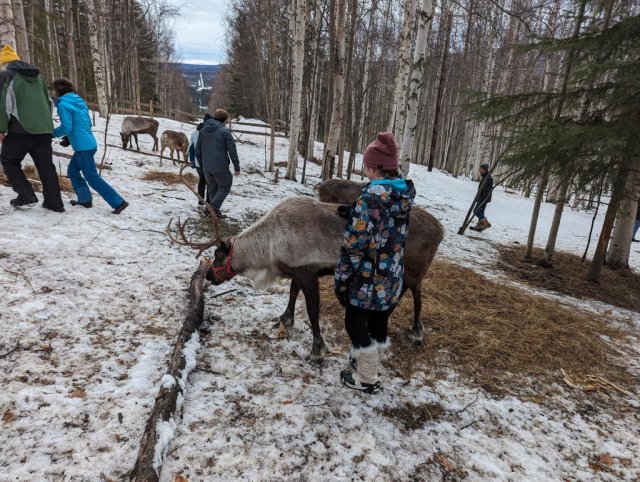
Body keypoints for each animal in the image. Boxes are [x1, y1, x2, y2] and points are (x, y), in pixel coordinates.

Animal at [167, 166, 444, 361]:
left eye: (217, 255)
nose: (210, 276)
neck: (271, 244)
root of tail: (441, 230)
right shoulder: (297, 271)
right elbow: (292, 293)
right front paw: (284, 319)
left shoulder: (309, 274)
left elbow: (312, 311)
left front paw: (317, 350)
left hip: (414, 270)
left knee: (417, 295)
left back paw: (417, 332)